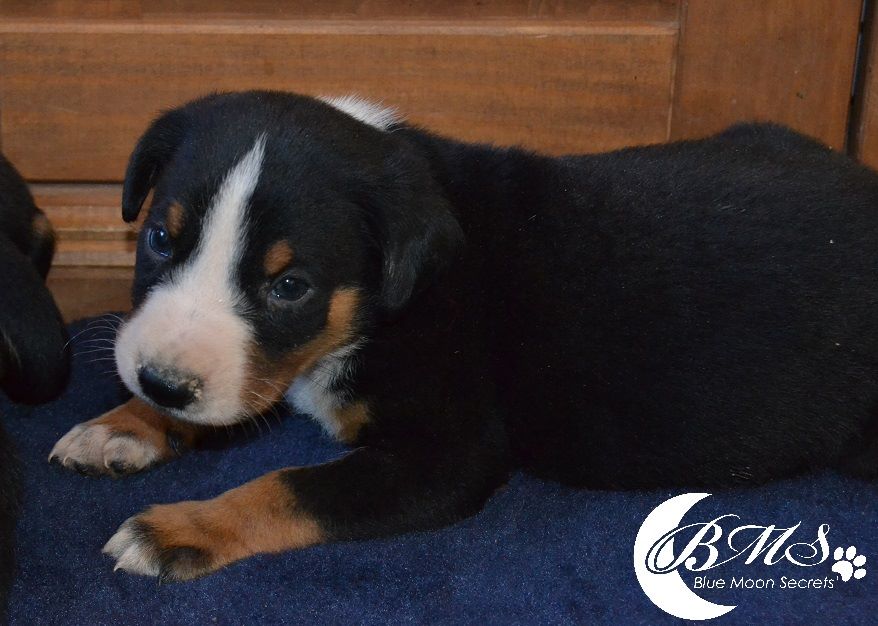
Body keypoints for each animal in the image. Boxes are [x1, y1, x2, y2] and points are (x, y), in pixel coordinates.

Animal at [49, 91, 878, 581]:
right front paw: (125, 424)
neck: (382, 305)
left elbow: (285, 486)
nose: (161, 380)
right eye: (160, 237)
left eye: (290, 287)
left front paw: (176, 529)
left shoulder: (445, 455)